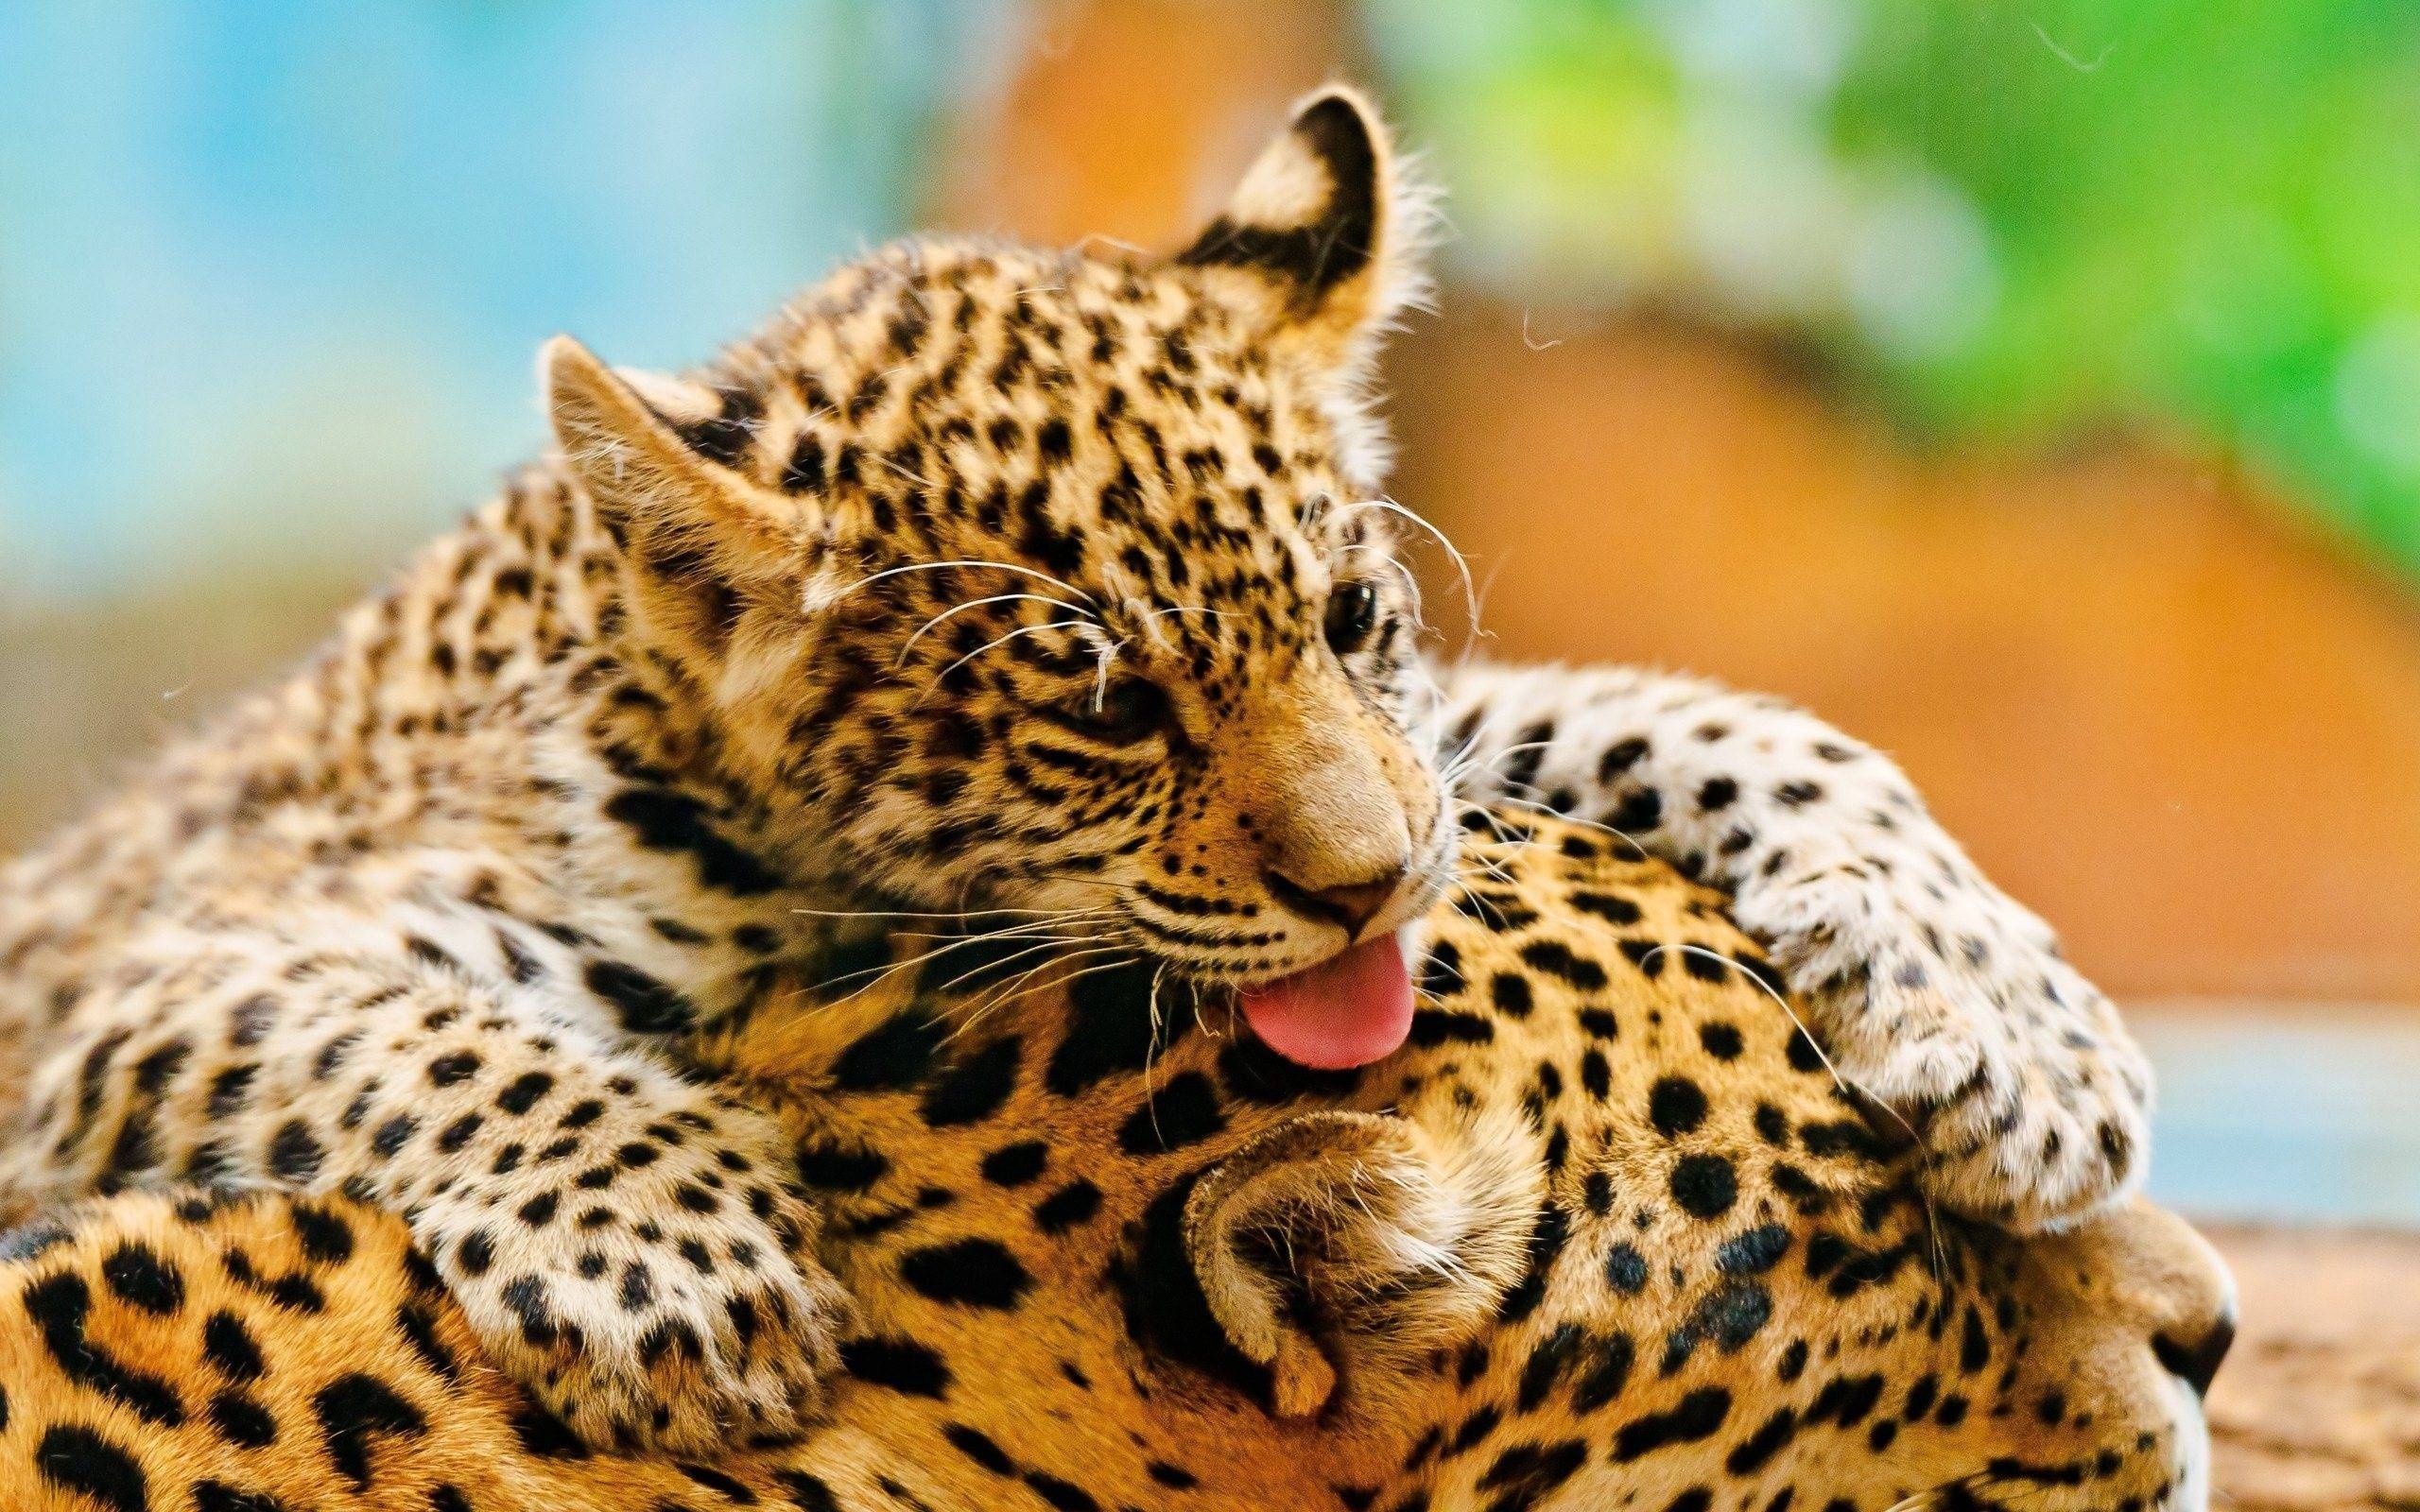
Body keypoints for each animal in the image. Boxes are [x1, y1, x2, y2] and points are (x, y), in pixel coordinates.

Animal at [0, 85, 2150, 1456]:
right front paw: (681, 1258)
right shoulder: (129, 976)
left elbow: (1673, 712)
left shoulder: (1433, 745)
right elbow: (395, 1030)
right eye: (1108, 710)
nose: (1370, 893)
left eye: (1351, 617)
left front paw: (2004, 1025)